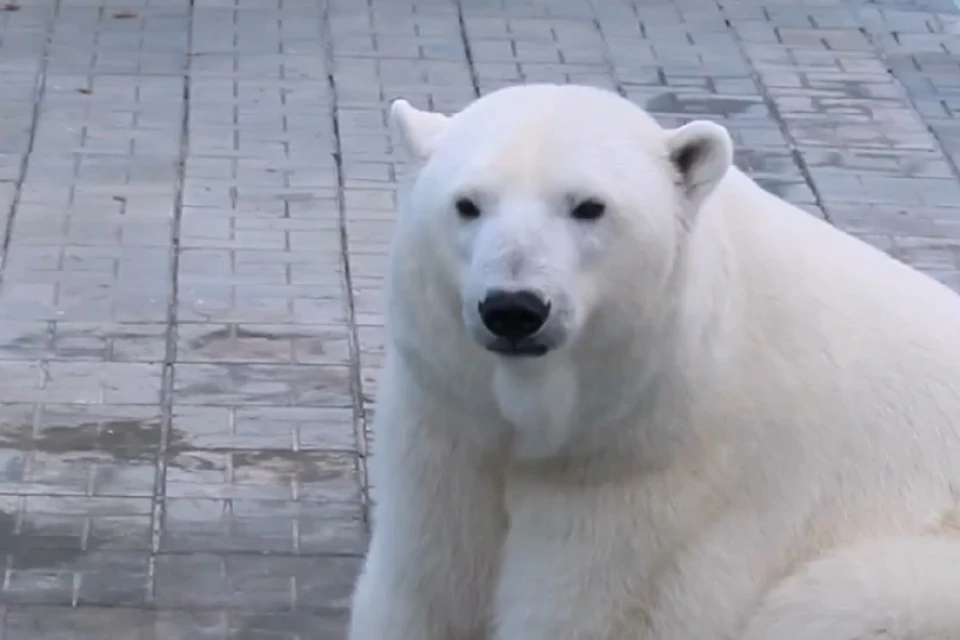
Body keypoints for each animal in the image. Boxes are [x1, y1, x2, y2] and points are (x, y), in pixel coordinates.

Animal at [344, 82, 960, 636]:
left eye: (588, 207)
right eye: (467, 204)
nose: (514, 308)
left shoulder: (658, 486)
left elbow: (587, 612)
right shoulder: (448, 433)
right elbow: (427, 587)